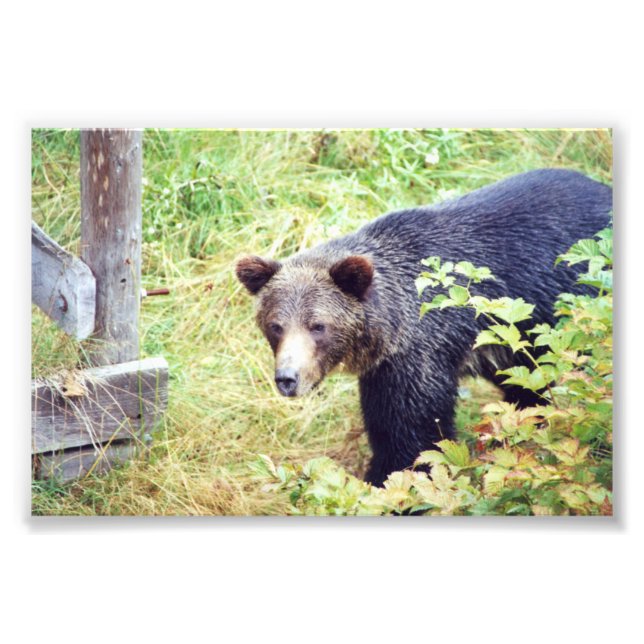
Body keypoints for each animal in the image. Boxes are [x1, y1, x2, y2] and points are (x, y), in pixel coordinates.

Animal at [236, 169, 612, 487]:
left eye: (318, 326)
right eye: (275, 326)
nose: (288, 378)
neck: (391, 325)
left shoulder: (420, 351)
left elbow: (412, 434)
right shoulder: (386, 364)